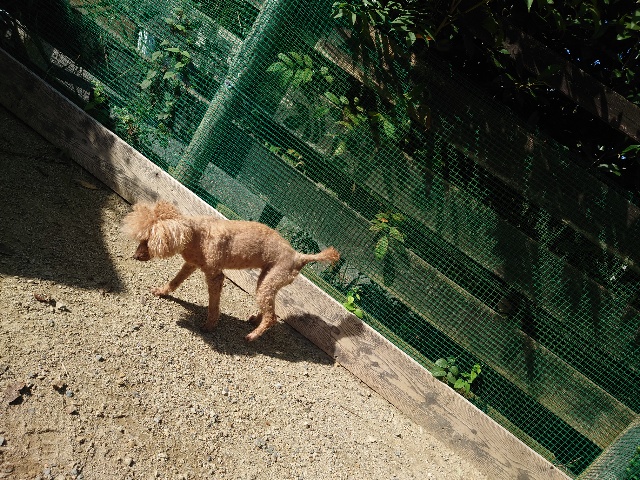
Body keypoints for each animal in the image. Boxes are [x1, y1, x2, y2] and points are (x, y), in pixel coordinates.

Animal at [122, 201, 340, 341]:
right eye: (142, 238)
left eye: (148, 241)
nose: (135, 256)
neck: (195, 235)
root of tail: (298, 256)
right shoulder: (190, 265)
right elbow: (175, 281)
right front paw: (161, 291)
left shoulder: (215, 275)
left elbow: (213, 304)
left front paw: (209, 326)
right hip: (267, 280)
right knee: (271, 309)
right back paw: (256, 320)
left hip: (271, 280)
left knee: (272, 317)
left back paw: (252, 336)